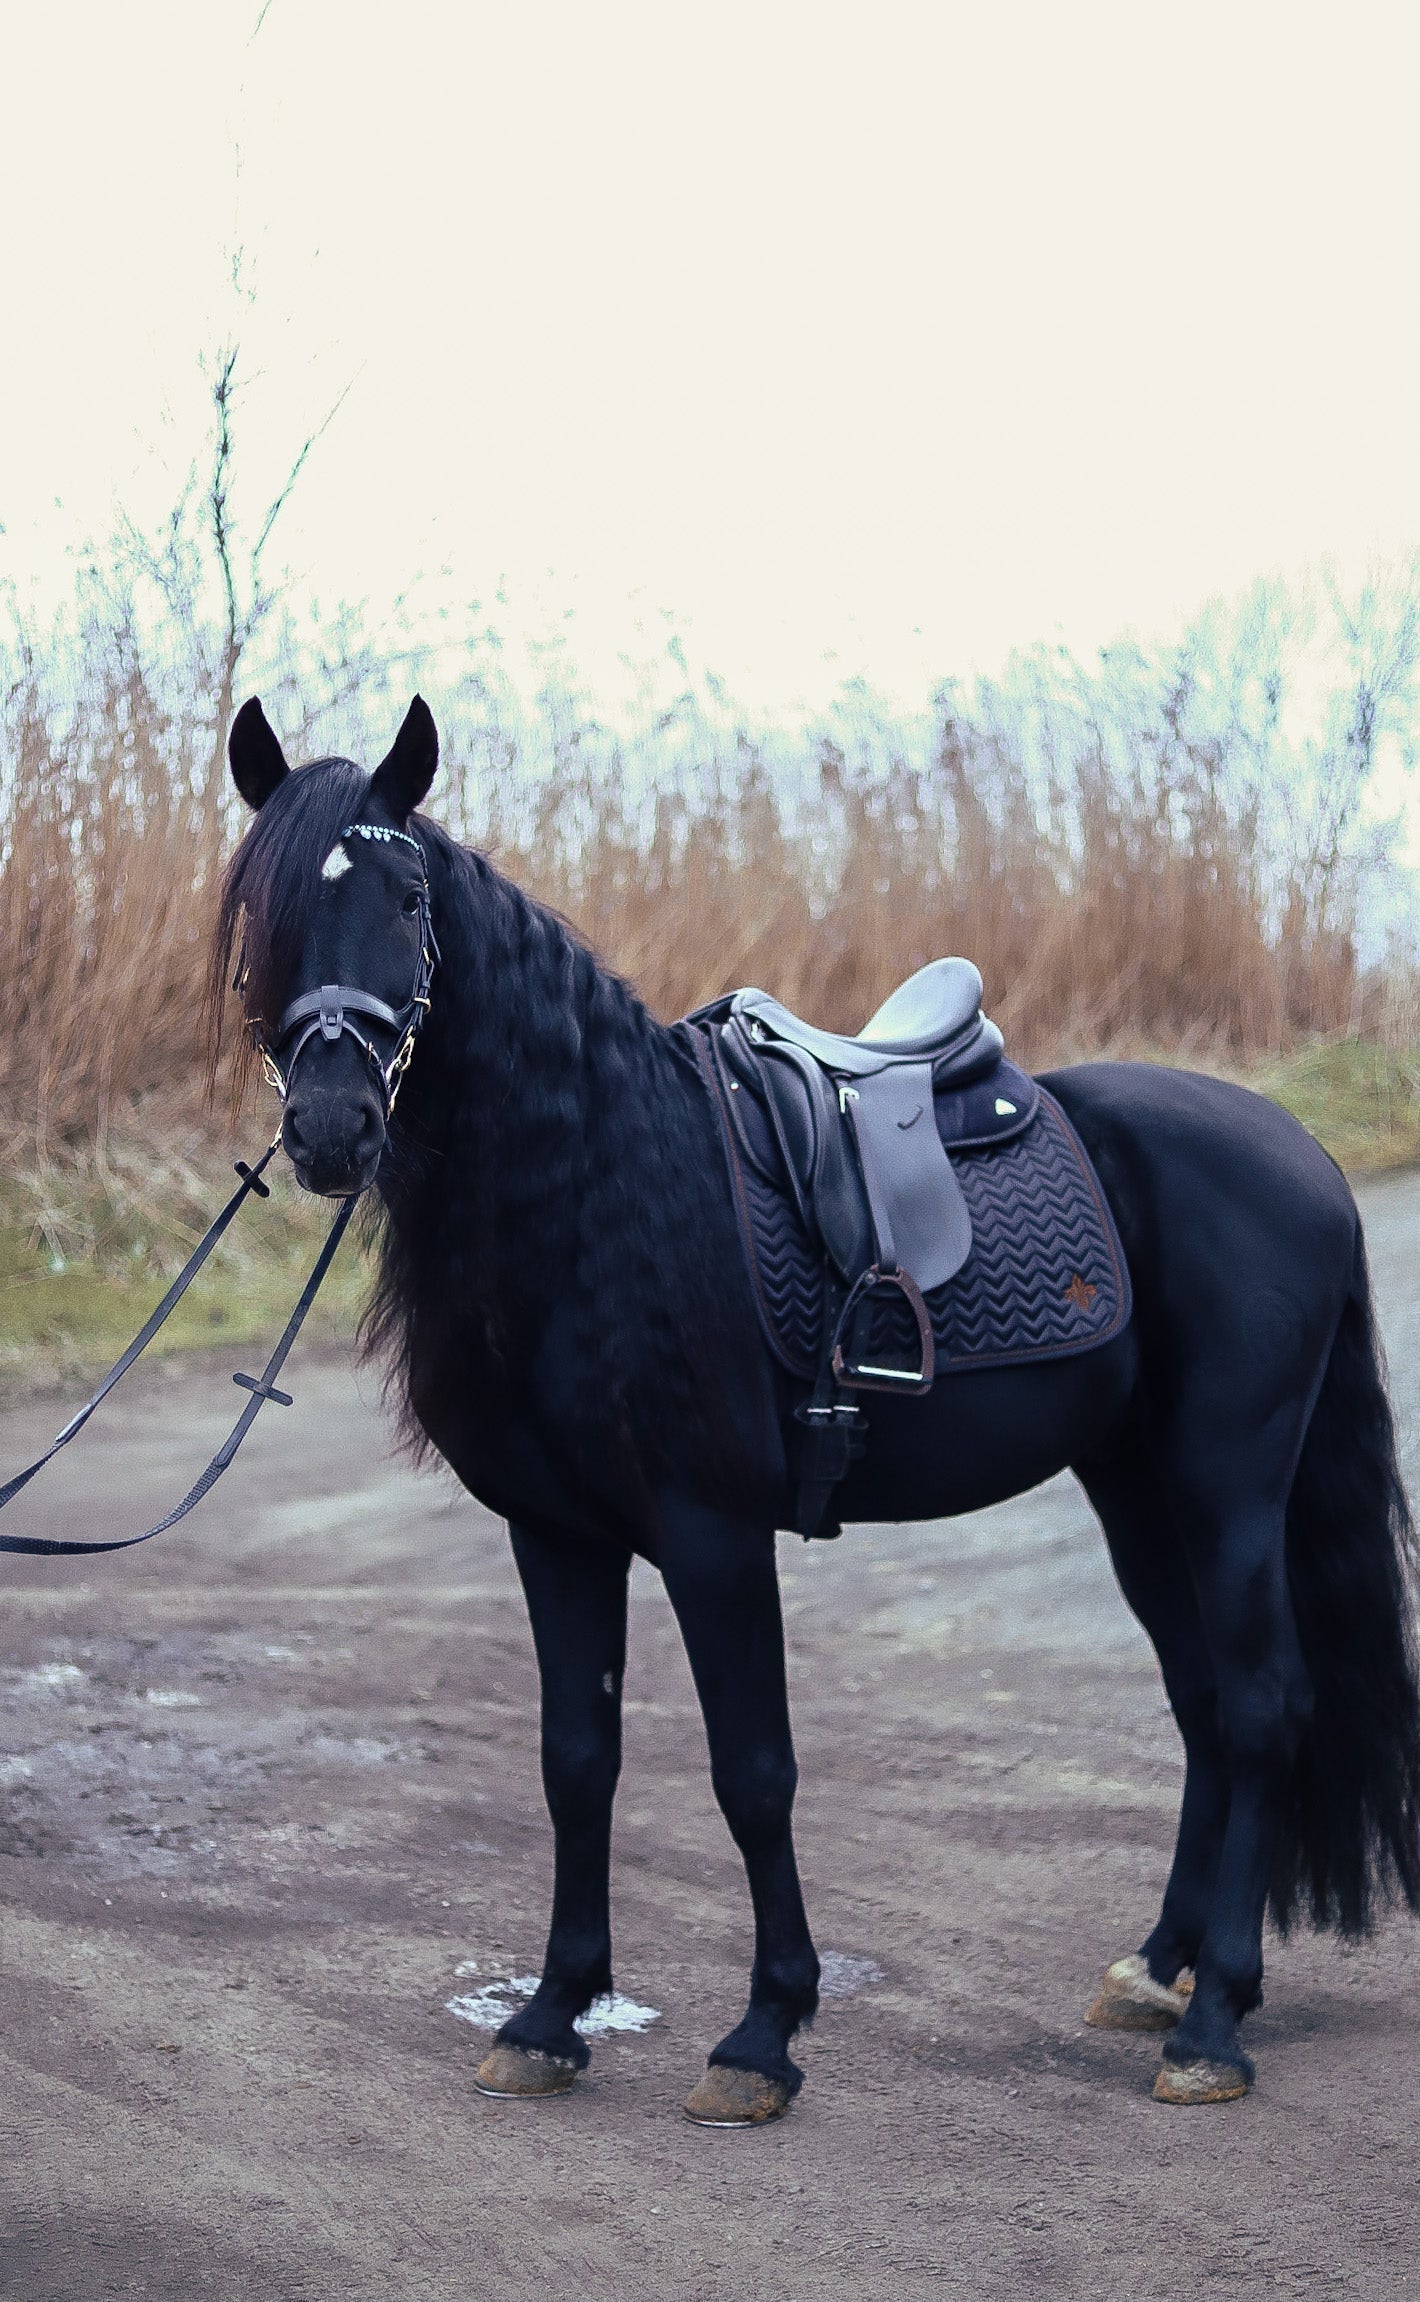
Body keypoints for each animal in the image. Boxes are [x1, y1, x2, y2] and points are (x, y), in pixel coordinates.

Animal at [212, 695, 1417, 2117]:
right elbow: (577, 1761)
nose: (331, 1126)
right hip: (1135, 1487)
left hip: (1226, 1485)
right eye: (263, 907)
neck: (599, 1186)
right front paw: (553, 2013)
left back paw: (1215, 2019)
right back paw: (1156, 1967)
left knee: (1262, 1702)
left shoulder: (713, 1533)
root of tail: (1303, 1154)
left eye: (407, 899)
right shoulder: (556, 1536)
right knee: (1202, 1705)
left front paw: (762, 2031)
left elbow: (754, 1773)